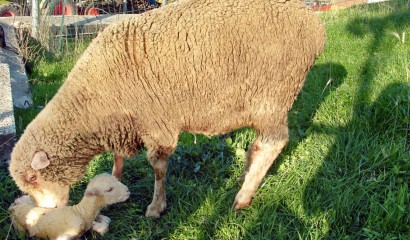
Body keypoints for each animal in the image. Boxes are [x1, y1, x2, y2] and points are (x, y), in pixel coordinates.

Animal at [8, 0, 326, 219]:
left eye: (34, 178)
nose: (45, 214)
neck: (93, 102)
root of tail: (313, 22)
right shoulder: (126, 124)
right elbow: (118, 160)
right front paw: (115, 179)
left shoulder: (155, 124)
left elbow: (158, 168)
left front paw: (156, 206)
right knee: (260, 144)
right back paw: (244, 176)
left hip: (274, 95)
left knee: (274, 143)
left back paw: (243, 196)